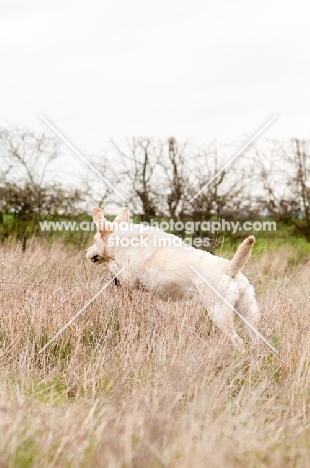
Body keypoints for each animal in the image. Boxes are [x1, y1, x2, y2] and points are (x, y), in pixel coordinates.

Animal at [86, 207, 260, 350]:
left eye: (94, 240)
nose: (87, 252)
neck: (121, 238)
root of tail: (230, 268)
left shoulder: (128, 276)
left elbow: (113, 266)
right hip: (248, 315)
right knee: (255, 338)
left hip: (220, 314)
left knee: (238, 341)